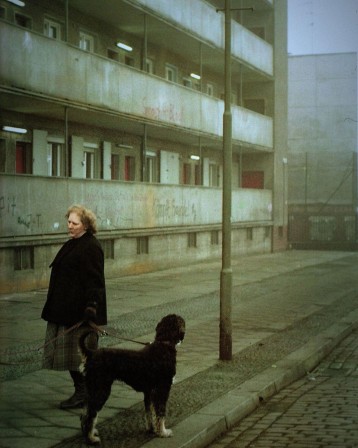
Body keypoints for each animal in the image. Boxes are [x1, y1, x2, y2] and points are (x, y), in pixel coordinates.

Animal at [78, 314, 185, 446]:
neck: (163, 344)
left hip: (92, 389)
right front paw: (163, 432)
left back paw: (91, 432)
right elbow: (160, 413)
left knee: (85, 413)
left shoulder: (149, 392)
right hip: (101, 390)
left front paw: (151, 429)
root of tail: (91, 354)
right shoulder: (162, 390)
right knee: (90, 415)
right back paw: (91, 439)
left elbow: (149, 413)